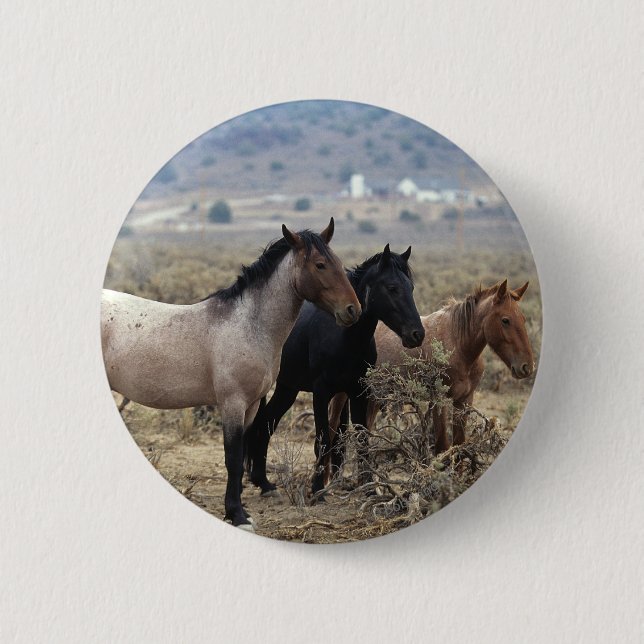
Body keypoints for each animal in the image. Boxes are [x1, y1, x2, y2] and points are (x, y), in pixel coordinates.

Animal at [101, 219, 361, 529]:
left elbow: (243, 452)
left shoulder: (250, 406)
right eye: (320, 265)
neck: (248, 324)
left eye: (338, 262)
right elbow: (233, 458)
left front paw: (240, 510)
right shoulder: (233, 404)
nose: (353, 310)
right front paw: (237, 515)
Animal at [244, 244, 425, 498]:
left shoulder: (358, 393)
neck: (343, 337)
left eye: (411, 287)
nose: (417, 334)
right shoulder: (321, 393)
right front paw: (317, 489)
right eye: (392, 288)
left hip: (287, 388)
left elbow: (361, 438)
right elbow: (323, 439)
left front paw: (369, 488)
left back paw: (264, 483)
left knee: (266, 423)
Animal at [328, 279, 534, 460]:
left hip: (374, 397)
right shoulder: (439, 400)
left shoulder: (464, 401)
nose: (527, 366)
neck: (458, 344)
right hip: (344, 395)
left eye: (523, 319)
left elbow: (459, 445)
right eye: (505, 320)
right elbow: (442, 446)